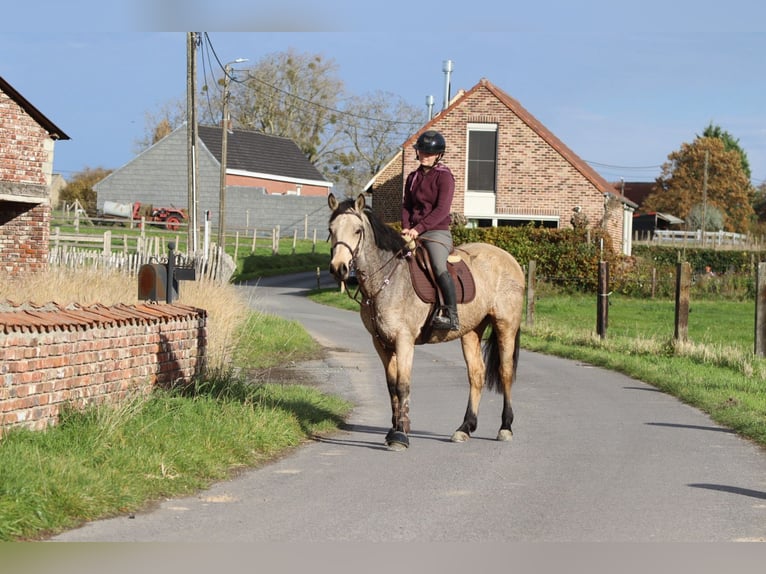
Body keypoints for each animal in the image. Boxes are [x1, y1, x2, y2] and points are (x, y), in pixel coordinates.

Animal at [327, 193, 526, 451]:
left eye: (358, 230)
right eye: (331, 229)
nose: (338, 268)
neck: (388, 278)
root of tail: (510, 259)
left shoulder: (404, 340)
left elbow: (403, 385)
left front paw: (400, 435)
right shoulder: (381, 343)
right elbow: (392, 386)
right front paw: (394, 429)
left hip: (505, 325)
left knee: (505, 372)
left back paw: (505, 427)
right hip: (471, 331)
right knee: (476, 374)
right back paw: (465, 428)